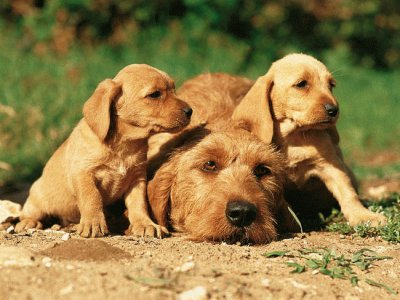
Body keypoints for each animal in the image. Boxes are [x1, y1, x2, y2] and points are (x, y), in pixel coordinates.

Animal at [16, 63, 195, 237]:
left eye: (174, 89)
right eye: (155, 94)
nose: (190, 111)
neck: (124, 145)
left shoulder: (137, 179)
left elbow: (139, 204)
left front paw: (145, 224)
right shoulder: (83, 174)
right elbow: (92, 199)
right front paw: (93, 223)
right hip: (37, 197)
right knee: (28, 214)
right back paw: (29, 222)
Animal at [231, 53, 388, 225]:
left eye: (331, 85)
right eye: (301, 84)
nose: (334, 110)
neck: (294, 136)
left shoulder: (330, 165)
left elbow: (347, 192)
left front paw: (363, 215)